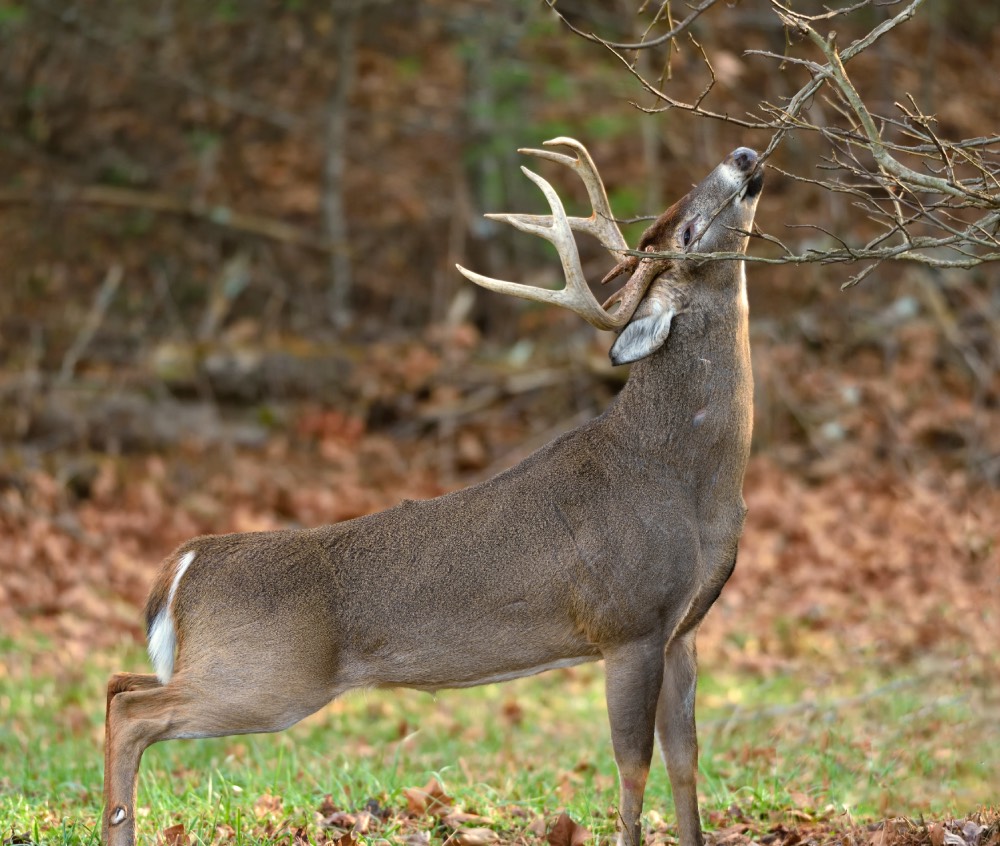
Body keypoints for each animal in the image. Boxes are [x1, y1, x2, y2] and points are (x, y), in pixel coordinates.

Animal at [101, 139, 760, 846]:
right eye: (688, 234)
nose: (746, 156)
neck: (684, 477)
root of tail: (184, 562)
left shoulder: (682, 630)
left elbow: (686, 763)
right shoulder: (630, 622)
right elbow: (632, 771)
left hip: (222, 668)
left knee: (118, 684)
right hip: (266, 678)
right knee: (135, 712)